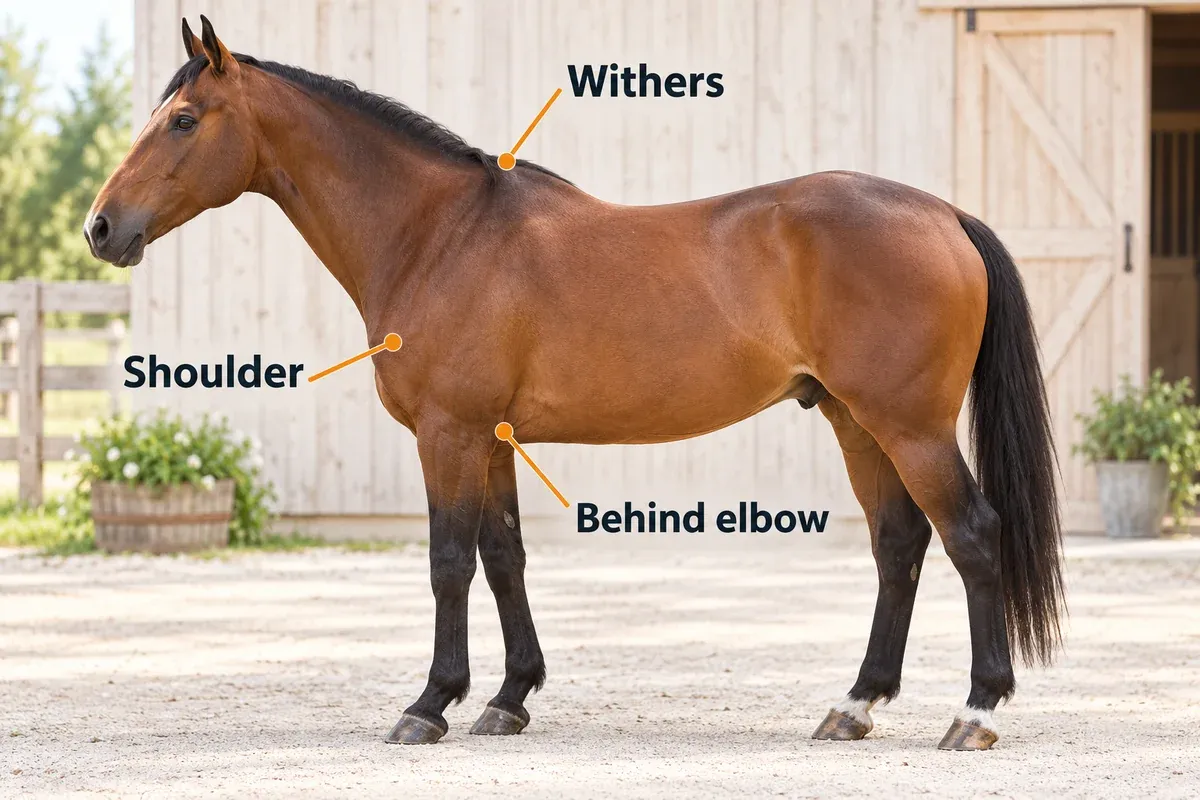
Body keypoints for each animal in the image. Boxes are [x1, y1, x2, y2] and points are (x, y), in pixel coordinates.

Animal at [86, 16, 1065, 751]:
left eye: (184, 120)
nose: (101, 228)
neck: (438, 233)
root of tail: (944, 215)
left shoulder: (449, 433)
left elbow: (448, 562)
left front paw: (428, 704)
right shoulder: (491, 439)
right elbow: (504, 558)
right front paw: (507, 698)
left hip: (911, 426)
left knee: (971, 535)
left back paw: (973, 712)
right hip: (857, 423)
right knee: (899, 545)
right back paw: (852, 705)